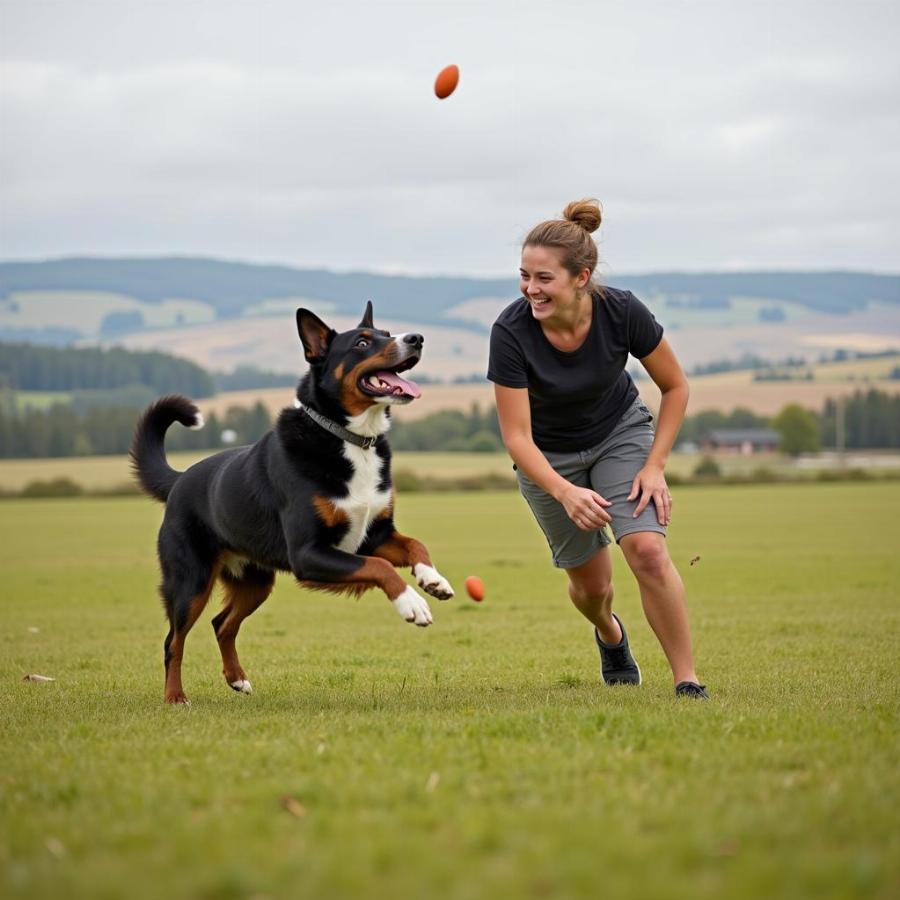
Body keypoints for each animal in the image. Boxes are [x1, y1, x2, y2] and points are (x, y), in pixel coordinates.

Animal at [132, 302, 458, 704]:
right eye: (363, 342)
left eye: (387, 333)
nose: (416, 338)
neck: (351, 439)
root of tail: (178, 480)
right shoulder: (310, 552)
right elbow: (380, 567)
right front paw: (411, 603)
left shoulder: (374, 534)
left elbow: (414, 544)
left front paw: (433, 579)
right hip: (190, 580)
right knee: (173, 641)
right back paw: (176, 697)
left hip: (255, 581)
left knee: (222, 624)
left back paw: (237, 679)